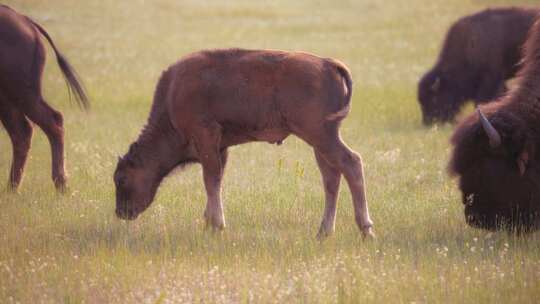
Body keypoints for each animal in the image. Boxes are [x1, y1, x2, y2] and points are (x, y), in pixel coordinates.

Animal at [0, 4, 88, 191]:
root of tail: (26, 21)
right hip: (9, 99)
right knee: (23, 132)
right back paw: (12, 189)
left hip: (21, 93)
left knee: (51, 121)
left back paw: (60, 184)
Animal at [114, 48, 376, 239]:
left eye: (122, 178)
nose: (121, 212)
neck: (171, 98)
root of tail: (328, 63)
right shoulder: (220, 147)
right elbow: (215, 181)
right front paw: (208, 224)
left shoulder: (206, 137)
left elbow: (211, 180)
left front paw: (217, 225)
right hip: (320, 142)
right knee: (331, 177)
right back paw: (323, 232)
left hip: (320, 136)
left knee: (351, 163)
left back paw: (366, 230)